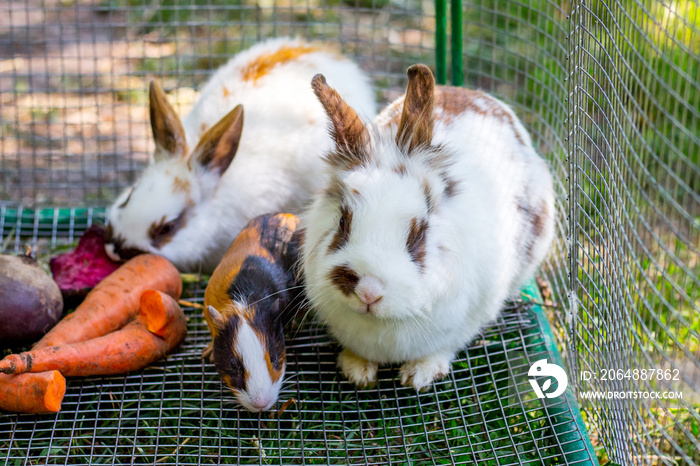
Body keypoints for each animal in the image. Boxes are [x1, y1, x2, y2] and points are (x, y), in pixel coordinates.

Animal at [300, 64, 552, 390]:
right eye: (343, 222)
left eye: (418, 234)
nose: (368, 291)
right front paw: (357, 370)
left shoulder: (471, 316)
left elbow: (444, 348)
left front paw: (419, 376)